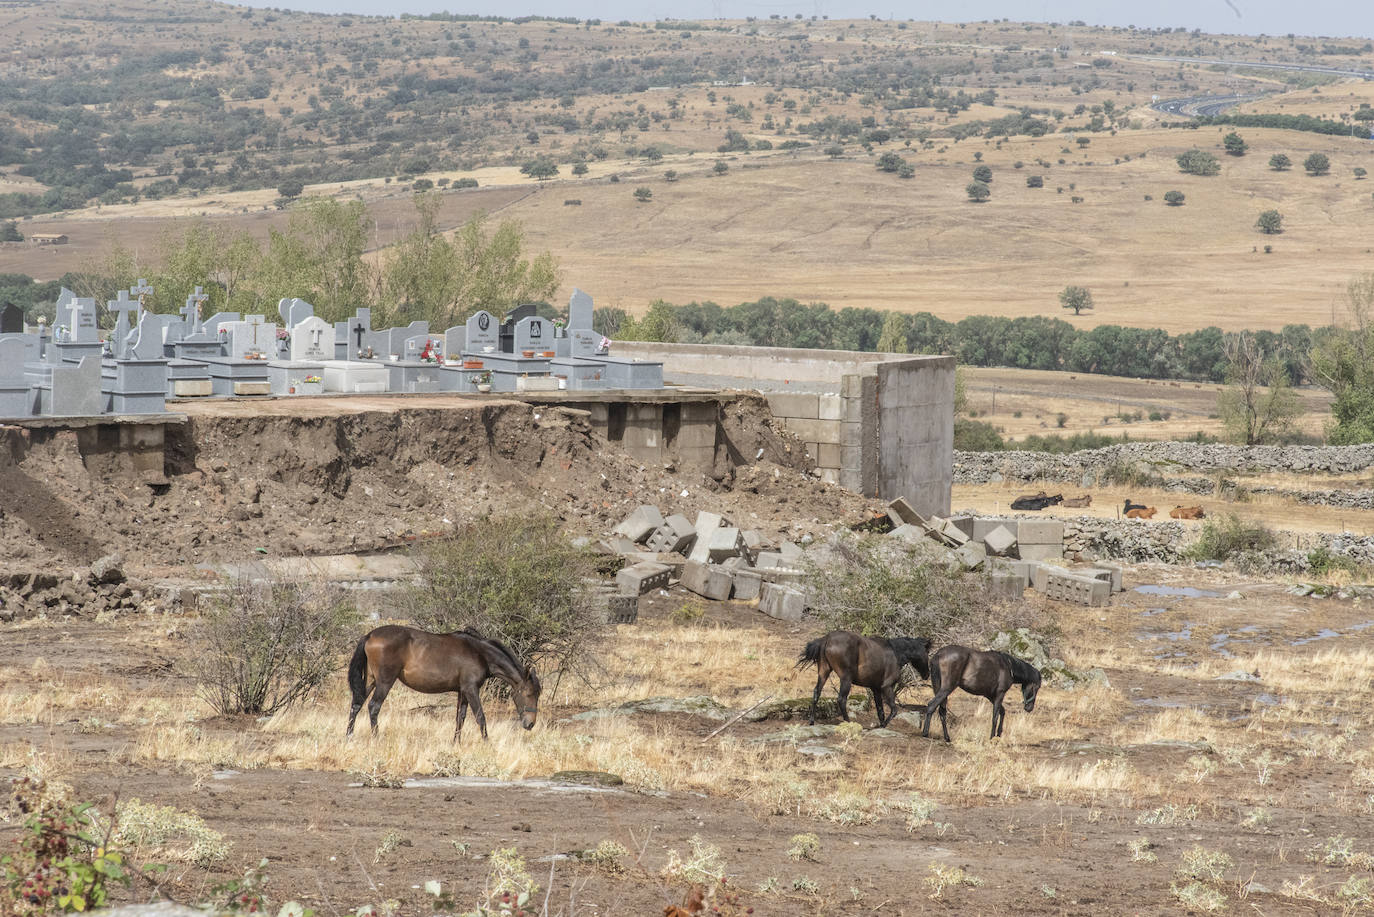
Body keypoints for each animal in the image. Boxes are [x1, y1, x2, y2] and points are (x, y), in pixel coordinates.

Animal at [343, 626, 541, 742]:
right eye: (529, 694)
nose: (530, 724)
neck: (480, 653)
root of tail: (370, 635)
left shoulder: (463, 691)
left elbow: (460, 718)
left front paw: (456, 743)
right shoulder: (471, 689)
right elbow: (480, 717)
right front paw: (487, 743)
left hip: (371, 680)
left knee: (357, 704)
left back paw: (349, 736)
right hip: (385, 681)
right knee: (373, 706)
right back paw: (376, 738)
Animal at [796, 632, 934, 725]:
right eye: (927, 653)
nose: (927, 674)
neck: (895, 653)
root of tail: (827, 639)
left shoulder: (876, 689)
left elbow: (880, 711)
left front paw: (881, 725)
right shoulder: (886, 687)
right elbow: (894, 710)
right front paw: (884, 725)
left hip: (824, 672)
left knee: (816, 693)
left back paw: (812, 721)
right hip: (846, 679)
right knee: (841, 699)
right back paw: (848, 721)